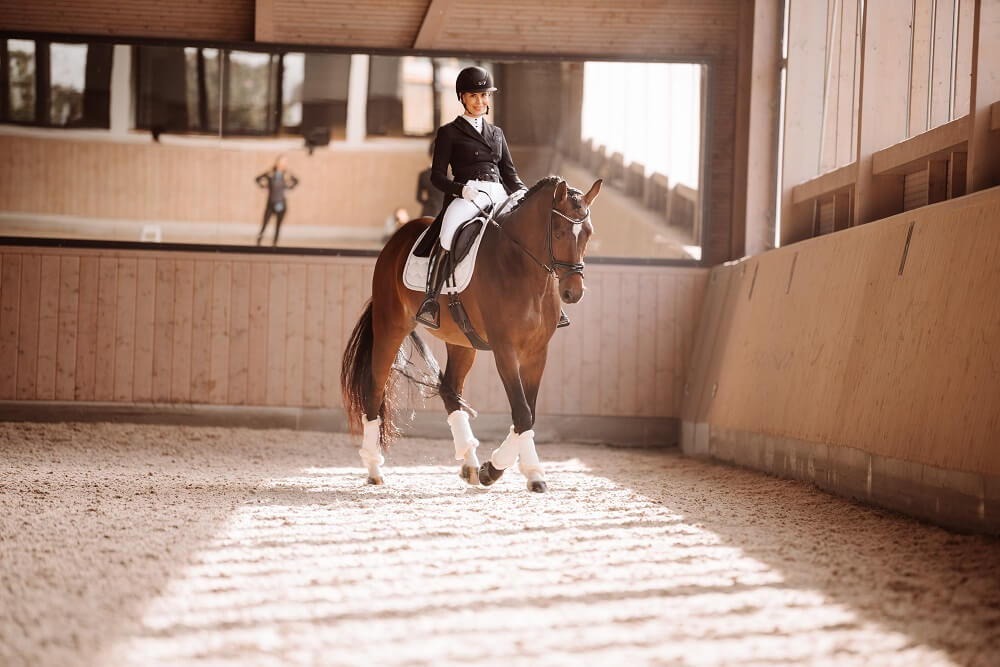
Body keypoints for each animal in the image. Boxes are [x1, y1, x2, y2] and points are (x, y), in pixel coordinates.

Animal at [340, 175, 600, 494]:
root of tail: (398, 238)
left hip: (462, 342)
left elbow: (528, 412)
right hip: (391, 326)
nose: (573, 292)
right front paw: (516, 471)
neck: (523, 268)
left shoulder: (537, 352)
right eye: (560, 233)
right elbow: (522, 411)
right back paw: (374, 467)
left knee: (450, 391)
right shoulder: (505, 349)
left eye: (587, 233)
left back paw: (470, 465)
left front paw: (500, 469)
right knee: (374, 388)